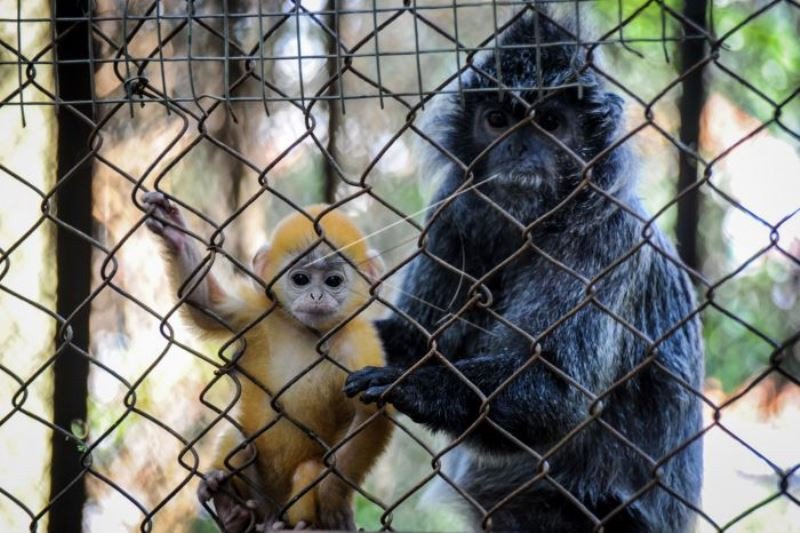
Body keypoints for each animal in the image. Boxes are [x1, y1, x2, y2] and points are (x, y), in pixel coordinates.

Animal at [145, 192, 396, 532]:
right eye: (301, 279)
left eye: (333, 281)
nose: (316, 296)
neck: (308, 333)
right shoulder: (257, 311)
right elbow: (205, 305)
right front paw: (173, 230)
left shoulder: (359, 342)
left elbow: (373, 411)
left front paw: (334, 500)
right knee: (240, 442)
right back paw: (232, 512)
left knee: (308, 470)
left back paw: (301, 526)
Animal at [344, 8, 700, 532]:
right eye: (497, 120)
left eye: (549, 122)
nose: (518, 149)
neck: (532, 221)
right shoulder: (454, 211)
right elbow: (416, 337)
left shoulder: (606, 238)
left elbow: (558, 394)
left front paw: (413, 383)